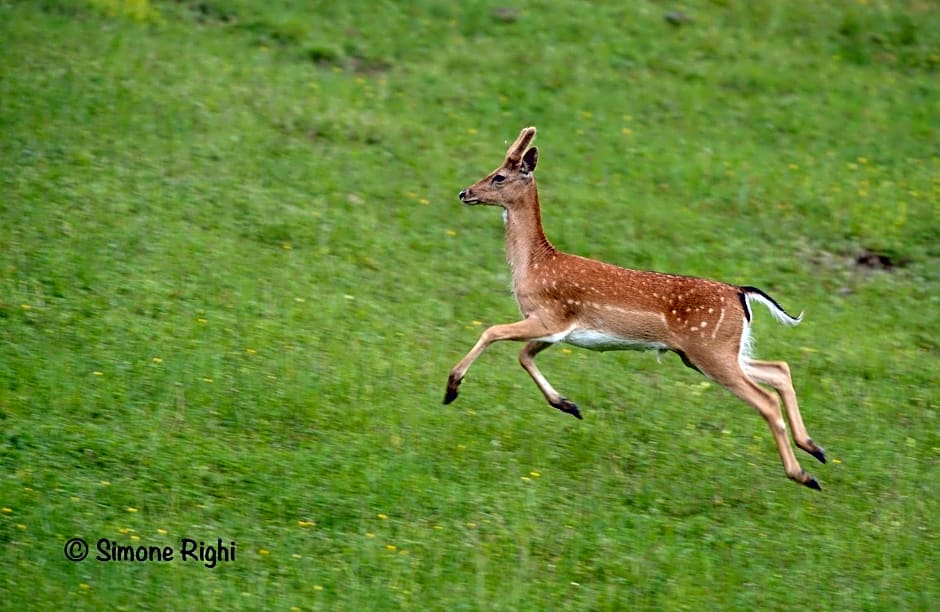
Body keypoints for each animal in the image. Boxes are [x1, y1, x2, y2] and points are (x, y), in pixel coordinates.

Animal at [444, 126, 828, 490]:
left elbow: (492, 331)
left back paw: (803, 474)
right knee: (779, 369)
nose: (465, 192)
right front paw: (569, 405)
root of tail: (740, 293)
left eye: (498, 177)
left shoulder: (551, 316)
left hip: (710, 349)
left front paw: (452, 388)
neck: (534, 265)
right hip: (710, 352)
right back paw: (814, 448)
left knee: (766, 399)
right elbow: (524, 356)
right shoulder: (558, 330)